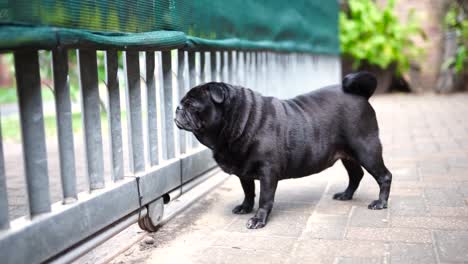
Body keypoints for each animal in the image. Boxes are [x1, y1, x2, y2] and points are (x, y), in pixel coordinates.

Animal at [175, 71, 392, 229]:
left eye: (191, 105)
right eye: (181, 103)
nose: (177, 108)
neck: (240, 119)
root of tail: (360, 94)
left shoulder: (268, 172)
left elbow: (264, 198)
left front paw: (258, 219)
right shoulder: (243, 172)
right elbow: (248, 192)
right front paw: (245, 208)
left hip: (366, 149)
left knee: (384, 176)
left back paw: (380, 203)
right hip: (348, 155)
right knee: (356, 174)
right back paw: (346, 195)